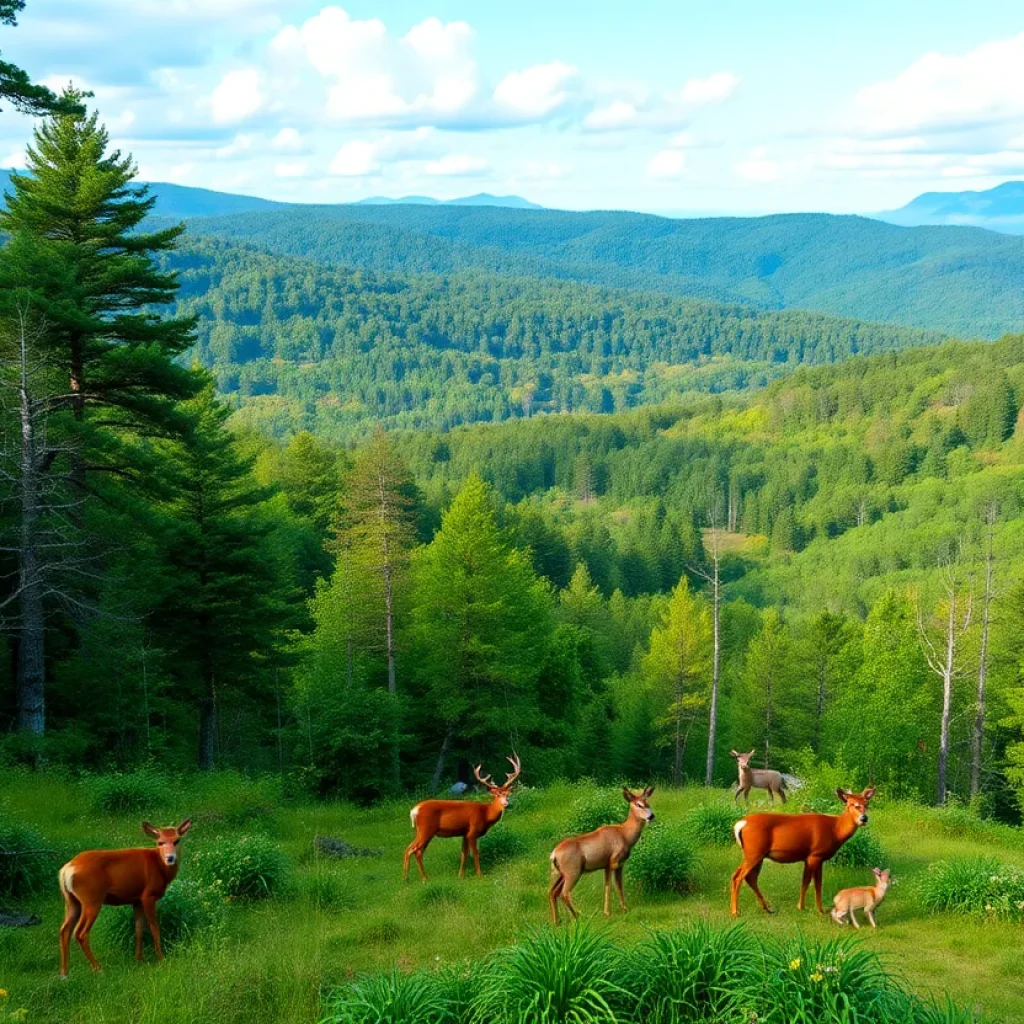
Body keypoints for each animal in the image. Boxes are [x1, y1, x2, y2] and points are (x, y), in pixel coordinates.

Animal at [58, 819, 192, 978]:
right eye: (160, 842)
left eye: (177, 840)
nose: (170, 858)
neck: (159, 866)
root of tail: (67, 869)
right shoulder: (148, 895)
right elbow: (154, 927)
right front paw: (160, 958)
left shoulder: (137, 900)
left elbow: (139, 928)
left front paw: (139, 959)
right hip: (91, 899)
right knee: (80, 933)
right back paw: (98, 968)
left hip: (71, 901)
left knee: (64, 930)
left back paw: (64, 973)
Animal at [548, 782, 651, 929]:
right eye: (638, 804)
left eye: (647, 802)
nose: (651, 816)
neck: (625, 834)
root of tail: (554, 854)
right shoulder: (614, 862)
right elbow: (613, 886)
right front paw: (614, 911)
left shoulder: (610, 865)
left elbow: (614, 885)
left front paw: (616, 910)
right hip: (573, 872)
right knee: (564, 893)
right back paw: (577, 916)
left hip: (559, 874)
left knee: (552, 892)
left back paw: (557, 921)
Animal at [729, 782, 872, 921]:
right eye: (852, 804)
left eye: (866, 804)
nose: (864, 818)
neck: (835, 829)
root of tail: (740, 824)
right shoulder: (816, 854)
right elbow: (814, 883)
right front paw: (818, 910)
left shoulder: (810, 858)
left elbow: (807, 882)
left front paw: (803, 907)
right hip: (754, 853)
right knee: (738, 877)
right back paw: (735, 912)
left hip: (757, 855)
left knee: (750, 878)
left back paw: (767, 908)